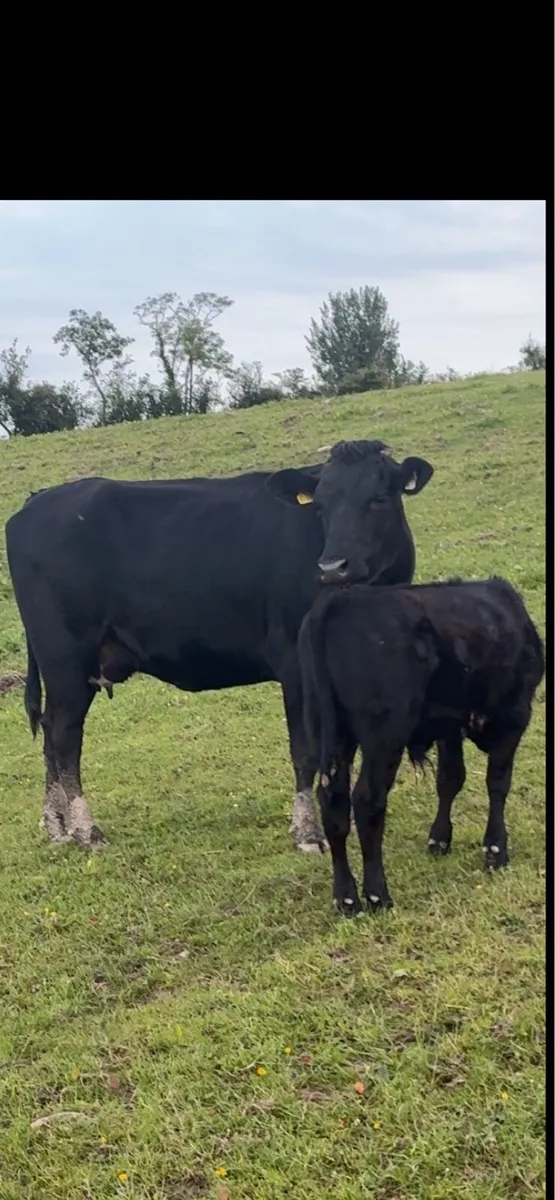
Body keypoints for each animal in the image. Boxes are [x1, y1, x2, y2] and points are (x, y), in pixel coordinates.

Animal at [5, 438, 433, 851]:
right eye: (321, 506)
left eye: (379, 498)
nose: (332, 567)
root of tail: (38, 500)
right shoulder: (295, 665)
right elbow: (306, 751)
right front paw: (308, 832)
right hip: (67, 659)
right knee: (64, 734)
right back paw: (85, 830)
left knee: (49, 731)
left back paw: (57, 827)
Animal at [298, 577, 544, 914]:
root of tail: (340, 600)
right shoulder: (515, 715)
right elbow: (498, 782)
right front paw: (496, 850)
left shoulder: (450, 726)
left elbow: (450, 779)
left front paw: (439, 841)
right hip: (385, 734)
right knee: (367, 800)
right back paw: (378, 895)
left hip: (329, 732)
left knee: (334, 803)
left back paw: (347, 899)